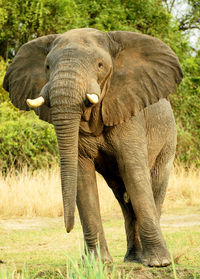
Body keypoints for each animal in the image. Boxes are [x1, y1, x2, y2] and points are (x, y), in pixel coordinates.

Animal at [3, 27, 184, 266]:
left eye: (100, 65)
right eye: (48, 67)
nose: (67, 229)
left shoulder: (129, 113)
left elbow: (134, 172)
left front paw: (160, 263)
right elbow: (82, 177)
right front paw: (96, 264)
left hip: (168, 139)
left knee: (154, 186)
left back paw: (144, 259)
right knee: (123, 198)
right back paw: (132, 259)